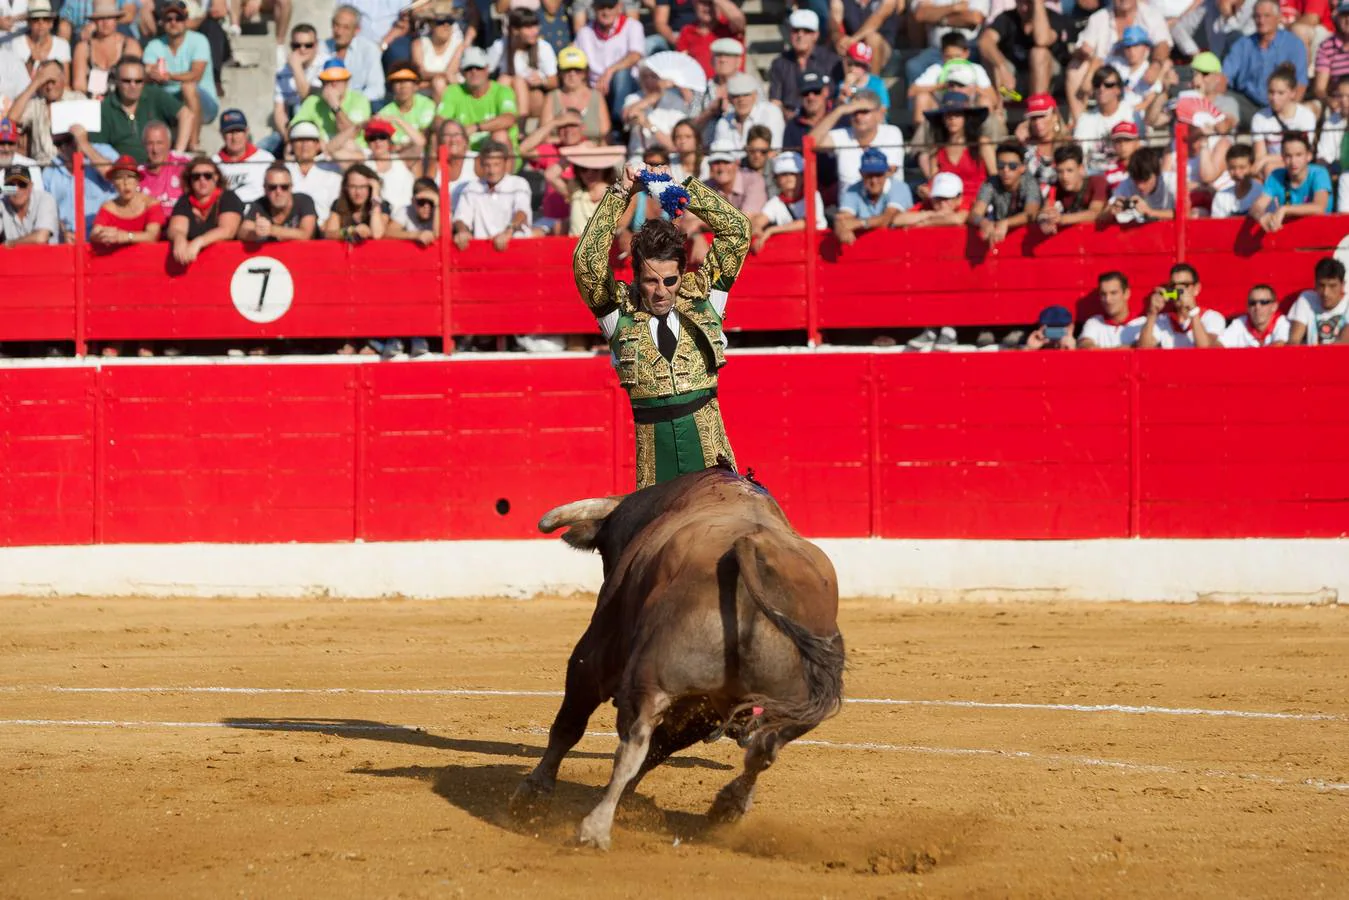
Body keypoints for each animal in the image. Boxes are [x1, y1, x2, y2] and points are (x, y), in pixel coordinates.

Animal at [507, 461, 841, 847]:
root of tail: (751, 547)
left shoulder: (595, 651)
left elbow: (570, 725)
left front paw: (533, 793)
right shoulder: (700, 706)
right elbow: (660, 748)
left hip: (653, 676)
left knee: (633, 743)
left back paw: (594, 829)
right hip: (774, 705)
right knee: (762, 750)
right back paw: (727, 808)